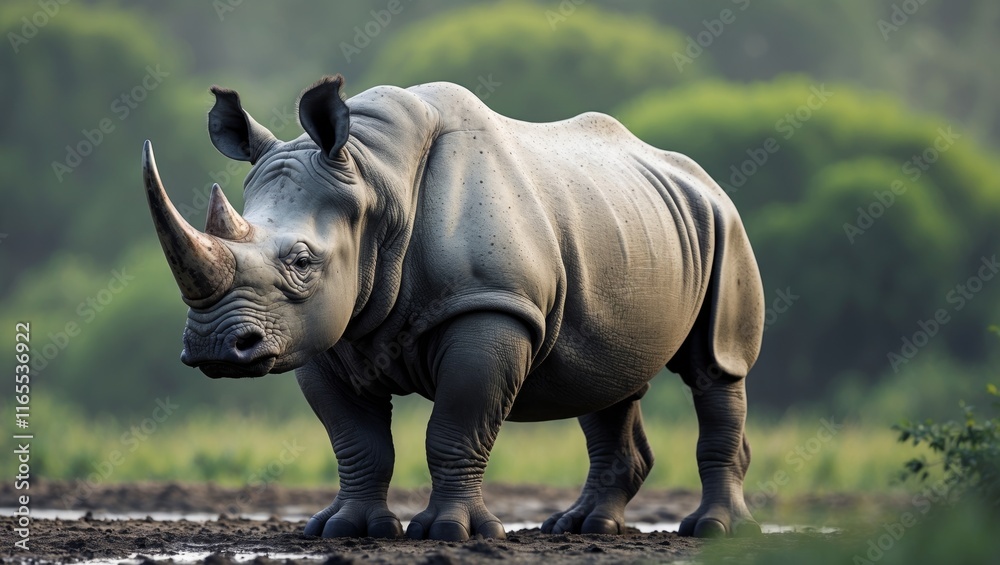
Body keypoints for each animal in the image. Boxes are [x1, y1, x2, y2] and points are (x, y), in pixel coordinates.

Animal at [142, 74, 765, 541]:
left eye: (301, 260)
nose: (214, 346)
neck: (374, 178)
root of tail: (698, 175)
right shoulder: (322, 328)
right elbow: (356, 439)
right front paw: (341, 530)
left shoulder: (490, 306)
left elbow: (458, 423)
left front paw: (449, 532)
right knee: (606, 378)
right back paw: (582, 528)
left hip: (724, 221)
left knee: (715, 366)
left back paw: (714, 530)